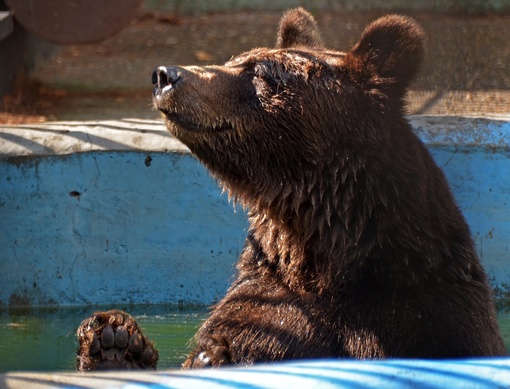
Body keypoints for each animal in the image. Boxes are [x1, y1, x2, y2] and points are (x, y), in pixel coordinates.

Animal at [75, 6, 506, 368]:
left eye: (259, 72)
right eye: (234, 60)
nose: (166, 75)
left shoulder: (430, 312)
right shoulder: (270, 301)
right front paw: (115, 341)